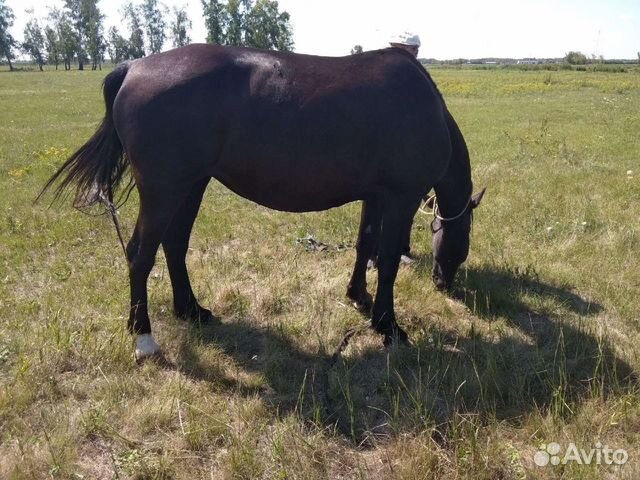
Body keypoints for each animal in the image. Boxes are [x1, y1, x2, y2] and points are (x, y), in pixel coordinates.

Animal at [40, 46, 484, 360]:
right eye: (459, 247)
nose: (445, 285)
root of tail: (133, 67)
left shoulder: (374, 196)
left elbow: (365, 247)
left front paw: (359, 298)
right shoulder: (399, 198)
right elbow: (388, 262)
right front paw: (388, 326)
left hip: (191, 185)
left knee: (174, 245)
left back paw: (191, 310)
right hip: (165, 190)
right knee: (140, 254)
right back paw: (144, 337)